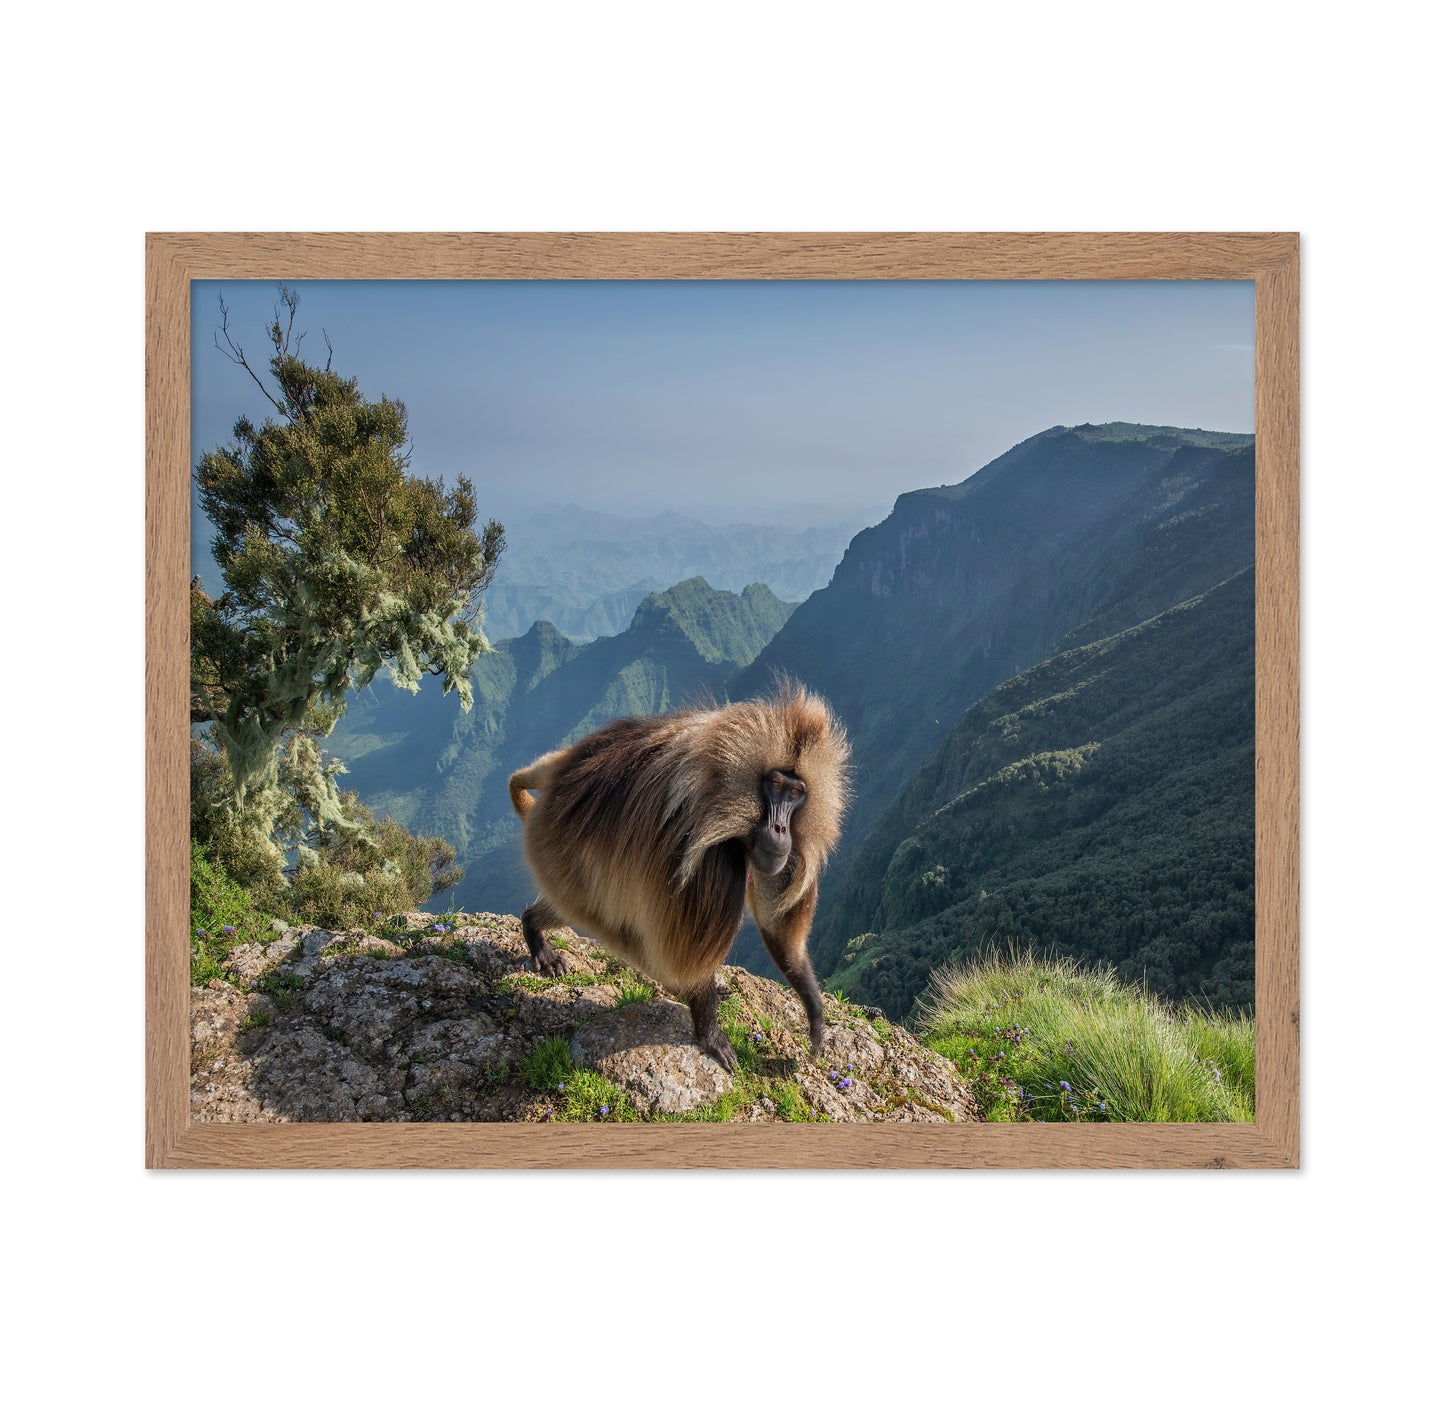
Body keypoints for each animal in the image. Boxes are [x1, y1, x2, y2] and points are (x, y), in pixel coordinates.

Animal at [508, 684, 850, 1070]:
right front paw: (709, 1033)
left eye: (795, 792)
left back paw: (533, 924)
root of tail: (562, 772)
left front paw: (814, 1013)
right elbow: (688, 953)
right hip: (557, 859)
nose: (780, 828)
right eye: (774, 784)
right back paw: (535, 930)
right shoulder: (711, 857)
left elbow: (777, 928)